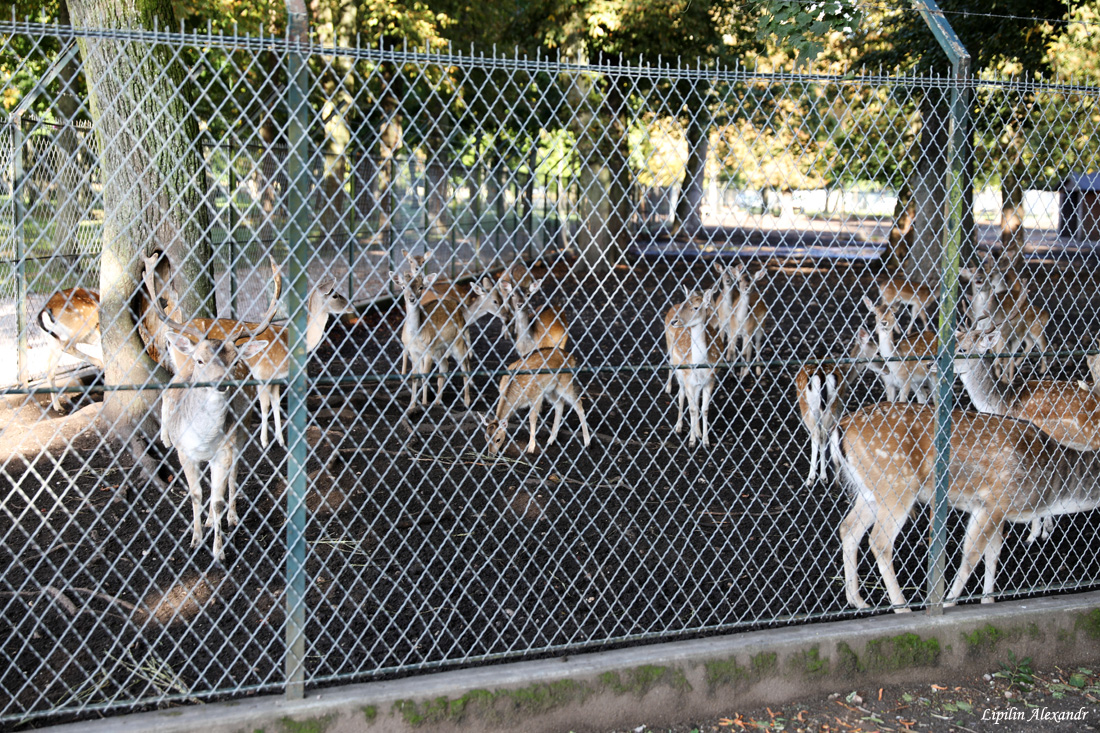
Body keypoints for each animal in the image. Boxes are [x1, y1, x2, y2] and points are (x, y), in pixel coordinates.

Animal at [141, 256, 281, 559]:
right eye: (200, 360)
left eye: (233, 360)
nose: (220, 383)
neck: (204, 437)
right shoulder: (184, 452)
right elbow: (195, 494)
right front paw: (195, 539)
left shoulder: (224, 451)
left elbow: (217, 498)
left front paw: (218, 551)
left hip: (241, 432)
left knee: (233, 476)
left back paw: (231, 517)